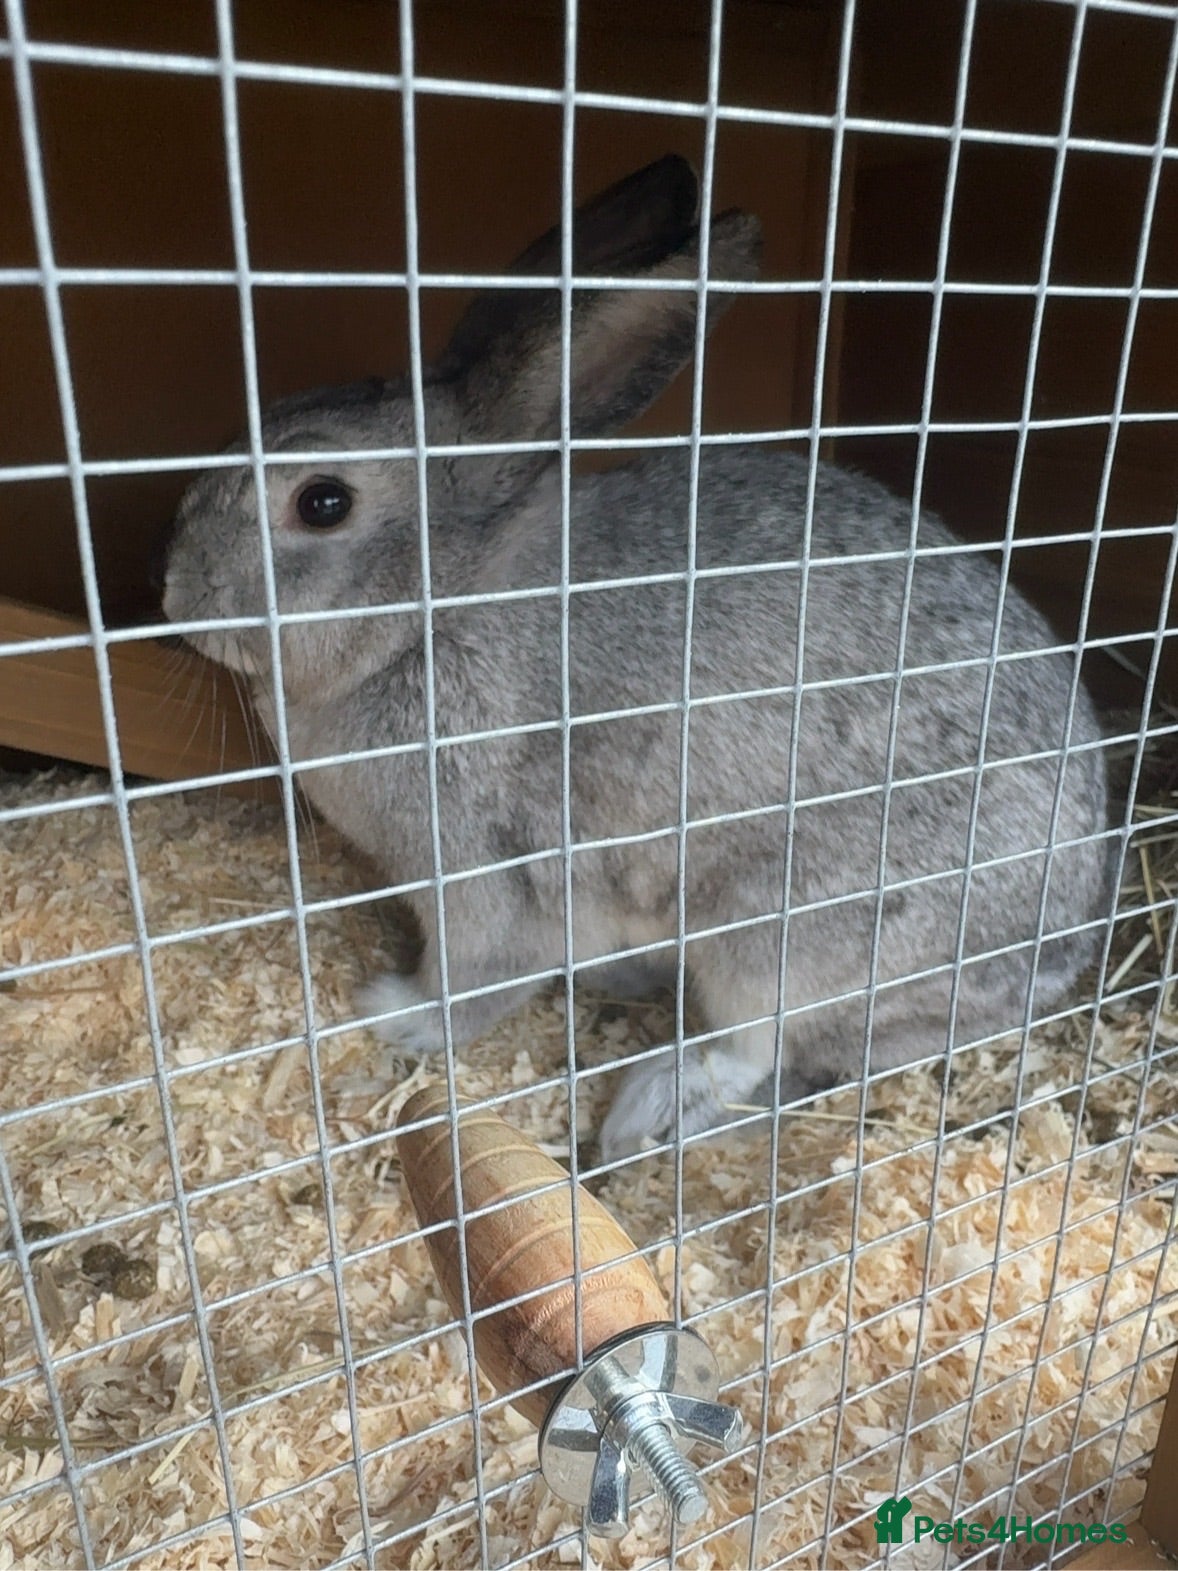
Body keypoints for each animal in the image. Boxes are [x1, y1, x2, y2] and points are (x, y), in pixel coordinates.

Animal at [162, 154, 1114, 1164]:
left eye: (323, 503)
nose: (174, 594)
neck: (434, 610)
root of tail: (1053, 955)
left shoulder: (487, 875)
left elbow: (480, 980)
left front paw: (391, 1013)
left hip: (791, 924)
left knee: (751, 1046)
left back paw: (645, 1109)